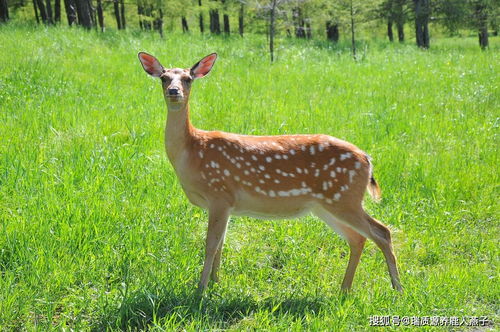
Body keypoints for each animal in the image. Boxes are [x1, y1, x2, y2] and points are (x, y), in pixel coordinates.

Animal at [139, 52, 404, 294]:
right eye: (164, 78)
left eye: (188, 78)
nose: (174, 91)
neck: (192, 150)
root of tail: (367, 159)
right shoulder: (226, 204)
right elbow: (221, 244)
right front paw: (215, 283)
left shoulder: (219, 194)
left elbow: (211, 245)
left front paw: (200, 289)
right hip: (326, 204)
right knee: (357, 238)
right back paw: (345, 289)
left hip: (344, 197)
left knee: (382, 231)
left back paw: (397, 289)